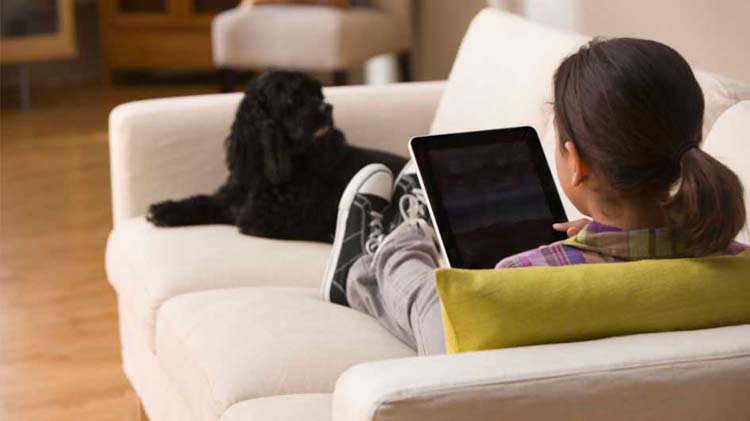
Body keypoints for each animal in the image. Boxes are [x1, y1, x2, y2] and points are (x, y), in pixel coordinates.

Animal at [147, 72, 406, 241]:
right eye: (292, 98)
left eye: (319, 95)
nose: (327, 108)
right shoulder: (232, 195)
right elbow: (203, 201)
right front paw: (164, 210)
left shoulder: (285, 214)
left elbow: (247, 218)